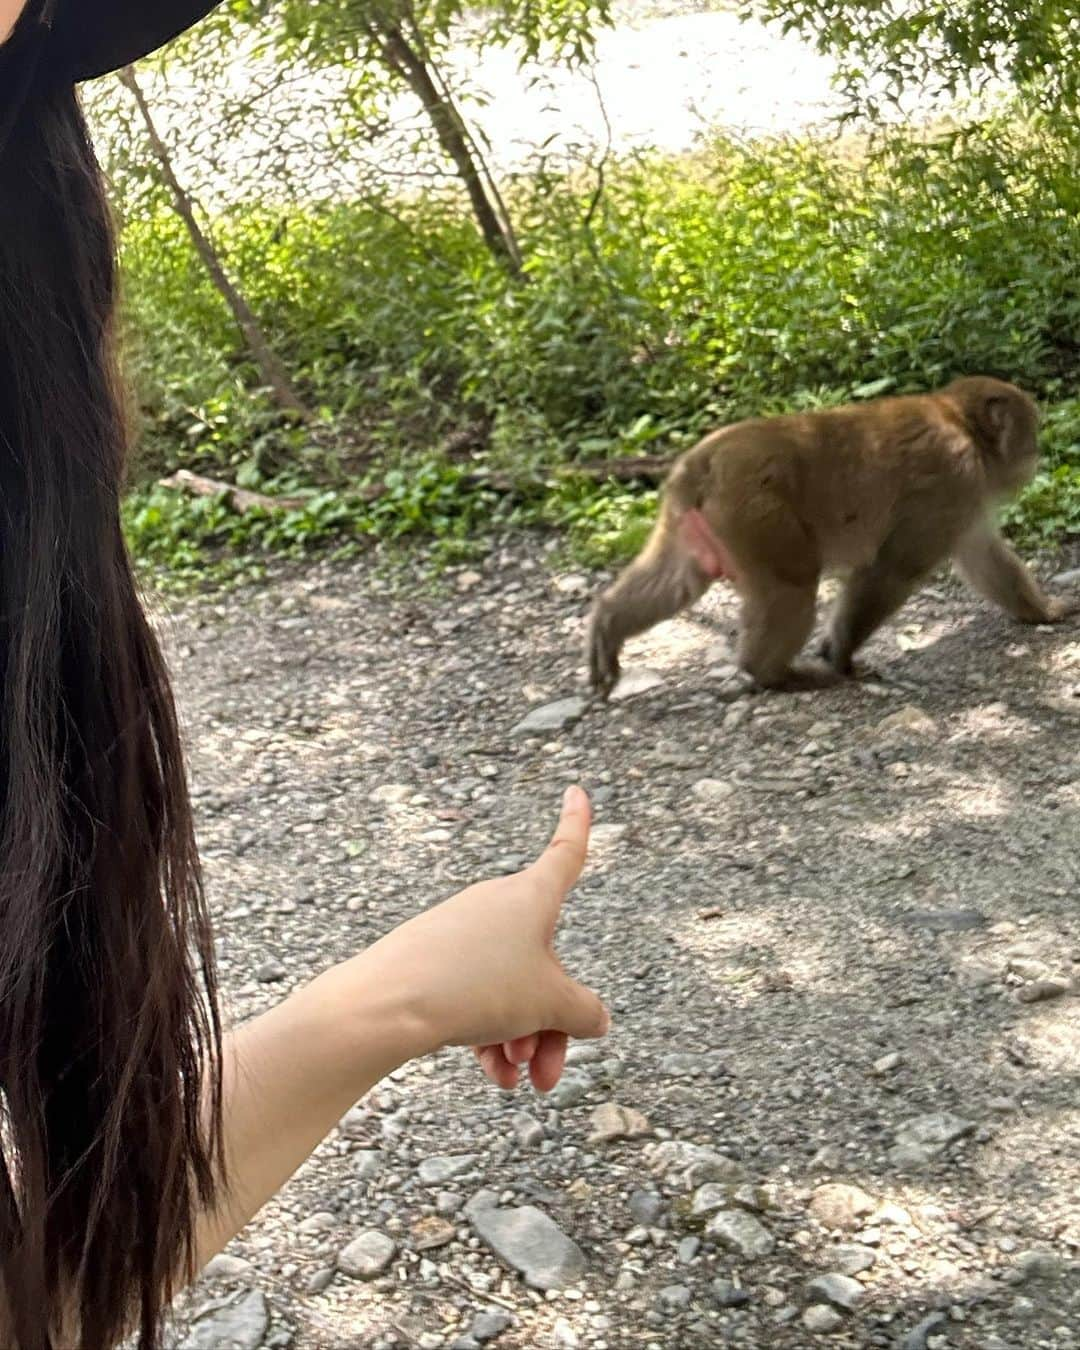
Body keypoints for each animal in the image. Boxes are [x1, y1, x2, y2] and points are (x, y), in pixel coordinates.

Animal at [585, 378, 1074, 702]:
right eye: (1031, 430)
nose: (1037, 454)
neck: (960, 423)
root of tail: (703, 462)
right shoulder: (954, 478)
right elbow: (894, 568)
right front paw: (839, 654)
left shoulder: (966, 500)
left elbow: (983, 556)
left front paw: (1044, 611)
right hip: (756, 514)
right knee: (792, 585)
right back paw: (773, 674)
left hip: (691, 519)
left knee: (677, 578)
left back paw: (608, 625)